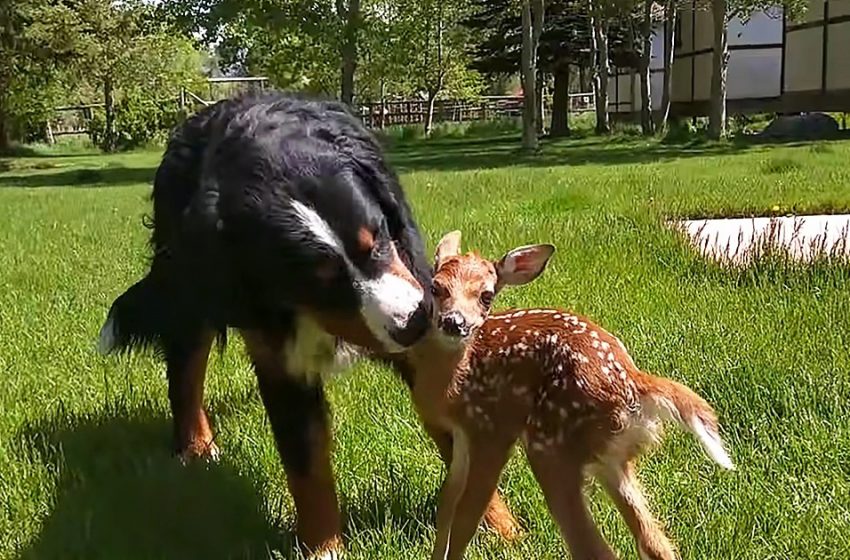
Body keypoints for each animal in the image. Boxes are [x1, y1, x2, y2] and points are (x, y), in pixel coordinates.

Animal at [402, 232, 728, 560]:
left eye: (486, 295)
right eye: (436, 287)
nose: (454, 322)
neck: (455, 380)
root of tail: (634, 382)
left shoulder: (491, 430)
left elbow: (466, 516)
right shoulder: (461, 436)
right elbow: (447, 504)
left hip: (552, 445)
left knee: (594, 548)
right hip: (612, 459)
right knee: (654, 542)